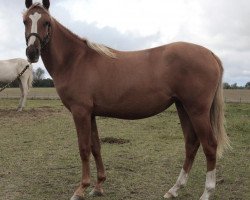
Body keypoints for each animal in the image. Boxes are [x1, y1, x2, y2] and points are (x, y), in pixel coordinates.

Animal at [23, 0, 230, 199]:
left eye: (46, 22)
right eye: (25, 21)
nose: (32, 53)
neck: (76, 60)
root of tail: (210, 54)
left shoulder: (80, 112)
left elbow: (84, 148)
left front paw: (81, 189)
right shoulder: (91, 114)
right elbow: (96, 147)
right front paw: (98, 186)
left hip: (197, 111)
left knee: (209, 145)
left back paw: (206, 192)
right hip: (183, 108)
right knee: (191, 144)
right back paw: (174, 189)